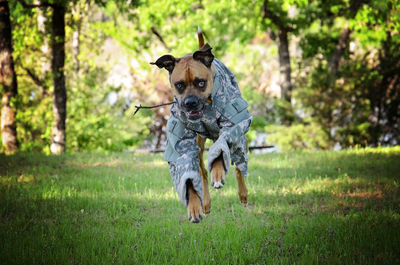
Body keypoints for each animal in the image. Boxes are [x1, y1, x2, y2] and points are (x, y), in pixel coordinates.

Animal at [152, 27, 252, 221]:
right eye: (179, 85)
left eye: (200, 82)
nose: (190, 103)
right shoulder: (183, 144)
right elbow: (189, 175)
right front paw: (194, 207)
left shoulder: (232, 127)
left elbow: (222, 150)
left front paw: (218, 173)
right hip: (199, 143)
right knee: (203, 172)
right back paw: (205, 202)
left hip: (241, 135)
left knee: (238, 162)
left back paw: (243, 193)